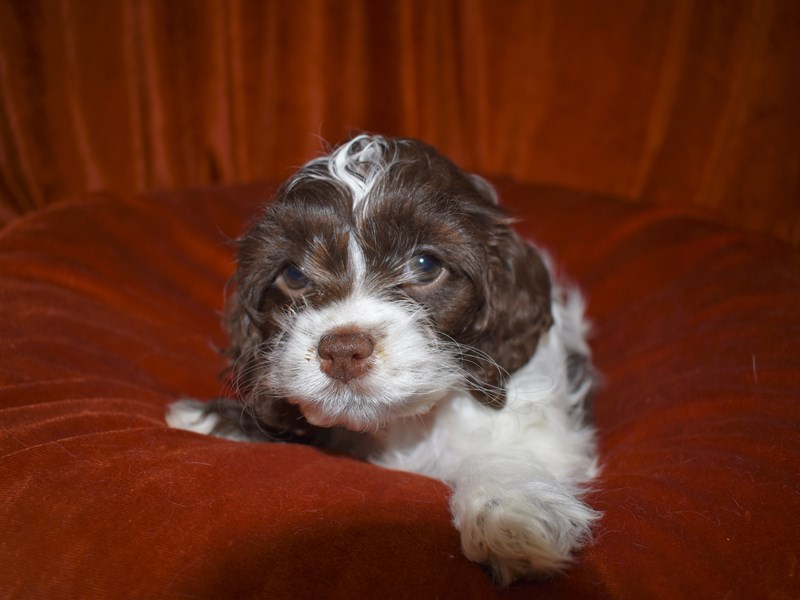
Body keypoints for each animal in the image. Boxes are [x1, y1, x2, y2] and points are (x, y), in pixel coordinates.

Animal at [167, 134, 600, 584]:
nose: (342, 350)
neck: (402, 426)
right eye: (294, 275)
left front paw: (511, 516)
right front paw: (215, 419)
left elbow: (509, 451)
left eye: (425, 265)